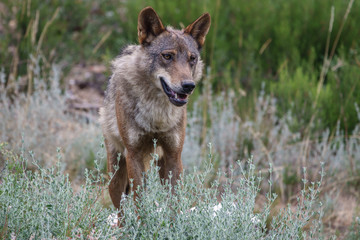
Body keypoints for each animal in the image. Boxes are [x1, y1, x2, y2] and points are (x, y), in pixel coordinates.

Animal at [98, 5, 211, 208]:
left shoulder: (174, 155)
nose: (188, 86)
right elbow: (140, 203)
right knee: (121, 211)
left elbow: (174, 204)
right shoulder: (133, 154)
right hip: (116, 176)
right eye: (167, 56)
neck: (157, 116)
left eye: (192, 58)